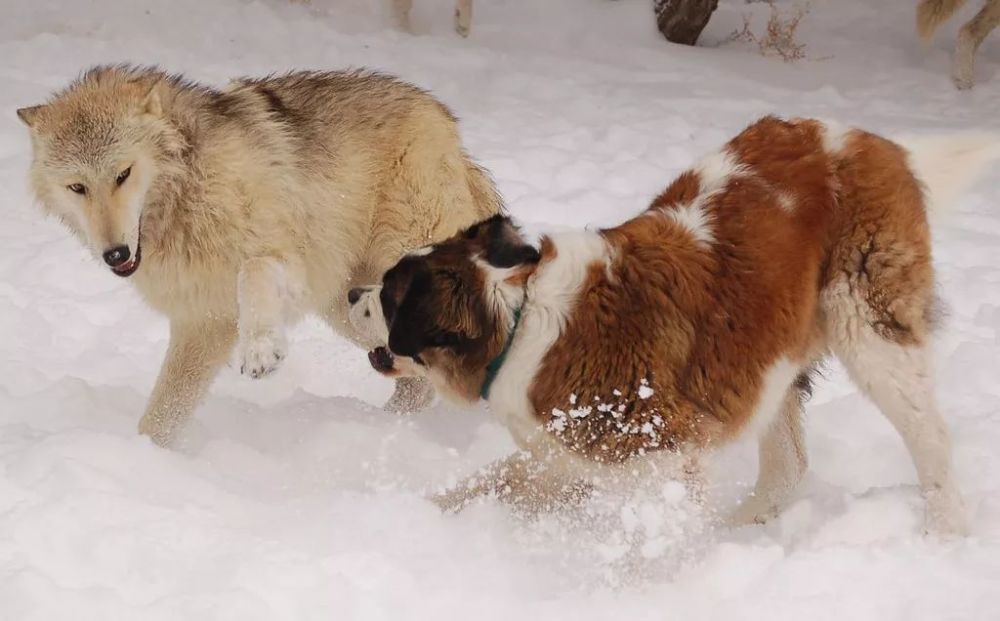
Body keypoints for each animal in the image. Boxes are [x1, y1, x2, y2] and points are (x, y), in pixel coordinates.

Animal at [21, 65, 508, 446]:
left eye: (123, 174)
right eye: (77, 187)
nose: (115, 253)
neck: (185, 200)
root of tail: (446, 123)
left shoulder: (280, 260)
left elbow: (252, 274)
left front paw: (259, 351)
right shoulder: (202, 323)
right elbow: (160, 417)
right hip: (352, 310)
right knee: (419, 385)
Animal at [348, 118, 996, 536]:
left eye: (388, 296)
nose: (353, 293)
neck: (520, 320)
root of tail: (875, 144)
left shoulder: (660, 453)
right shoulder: (566, 454)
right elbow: (489, 484)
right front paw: (422, 521)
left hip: (871, 328)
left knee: (929, 437)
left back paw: (945, 532)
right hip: (768, 358)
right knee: (788, 465)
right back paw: (741, 533)